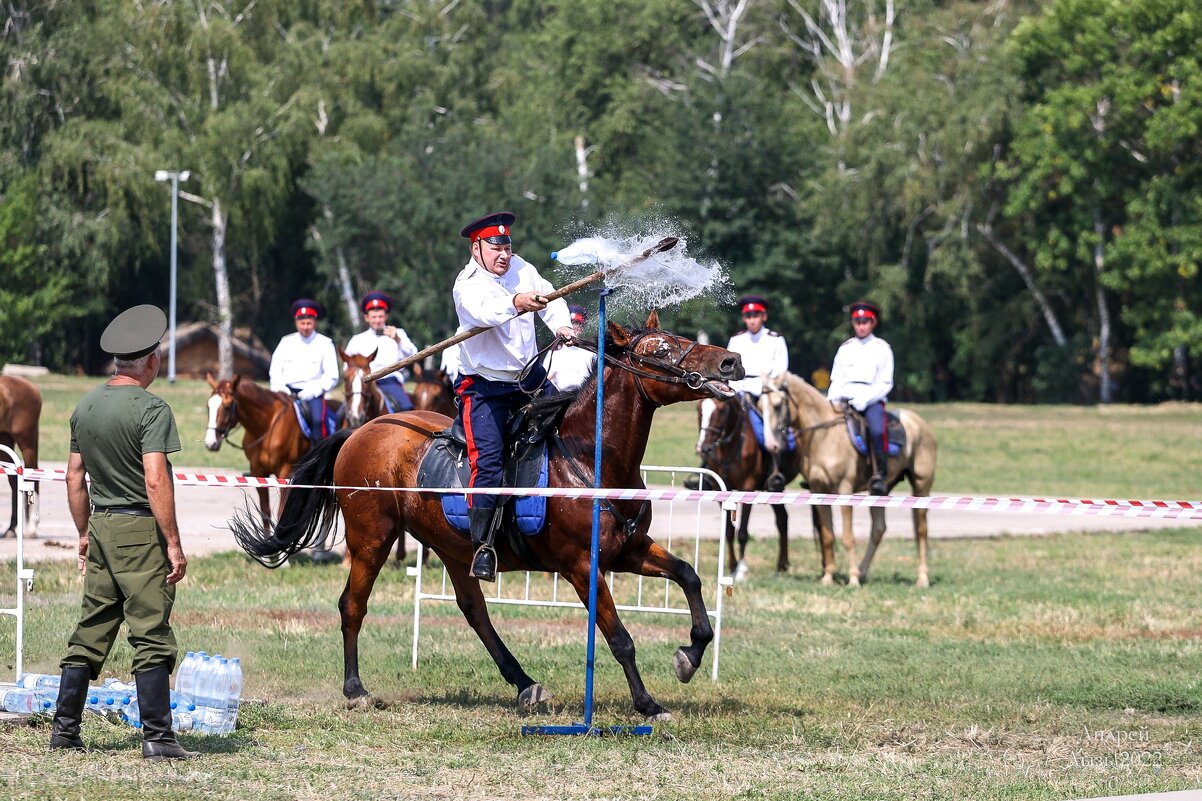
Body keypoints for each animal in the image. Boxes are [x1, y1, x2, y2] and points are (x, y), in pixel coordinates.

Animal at [0, 375, 41, 536]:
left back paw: (32, 527)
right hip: (5, 440)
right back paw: (12, 528)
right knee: (14, 482)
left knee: (33, 478)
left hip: (27, 442)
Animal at [229, 312, 745, 716]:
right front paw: (648, 704)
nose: (730, 361)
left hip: (453, 548)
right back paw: (356, 689)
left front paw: (689, 656)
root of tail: (361, 430)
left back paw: (524, 683)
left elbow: (690, 575)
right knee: (352, 606)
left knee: (475, 612)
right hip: (371, 540)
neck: (589, 457)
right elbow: (619, 637)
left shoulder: (631, 551)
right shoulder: (584, 567)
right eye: (662, 347)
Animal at [697, 394, 798, 577]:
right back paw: (782, 564)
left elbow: (742, 532)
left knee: (783, 519)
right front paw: (732, 566)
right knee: (782, 518)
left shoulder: (747, 488)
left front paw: (741, 568)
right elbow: (729, 531)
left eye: (721, 411)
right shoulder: (720, 489)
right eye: (699, 409)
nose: (704, 447)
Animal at [759, 370, 937, 586]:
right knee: (879, 529)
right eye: (759, 405)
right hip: (880, 490)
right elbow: (828, 535)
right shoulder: (819, 490)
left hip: (921, 486)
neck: (825, 436)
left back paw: (922, 578)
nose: (771, 445)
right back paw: (863, 571)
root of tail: (920, 423)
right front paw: (828, 577)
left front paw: (852, 579)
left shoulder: (844, 490)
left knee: (921, 530)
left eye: (777, 405)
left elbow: (847, 536)